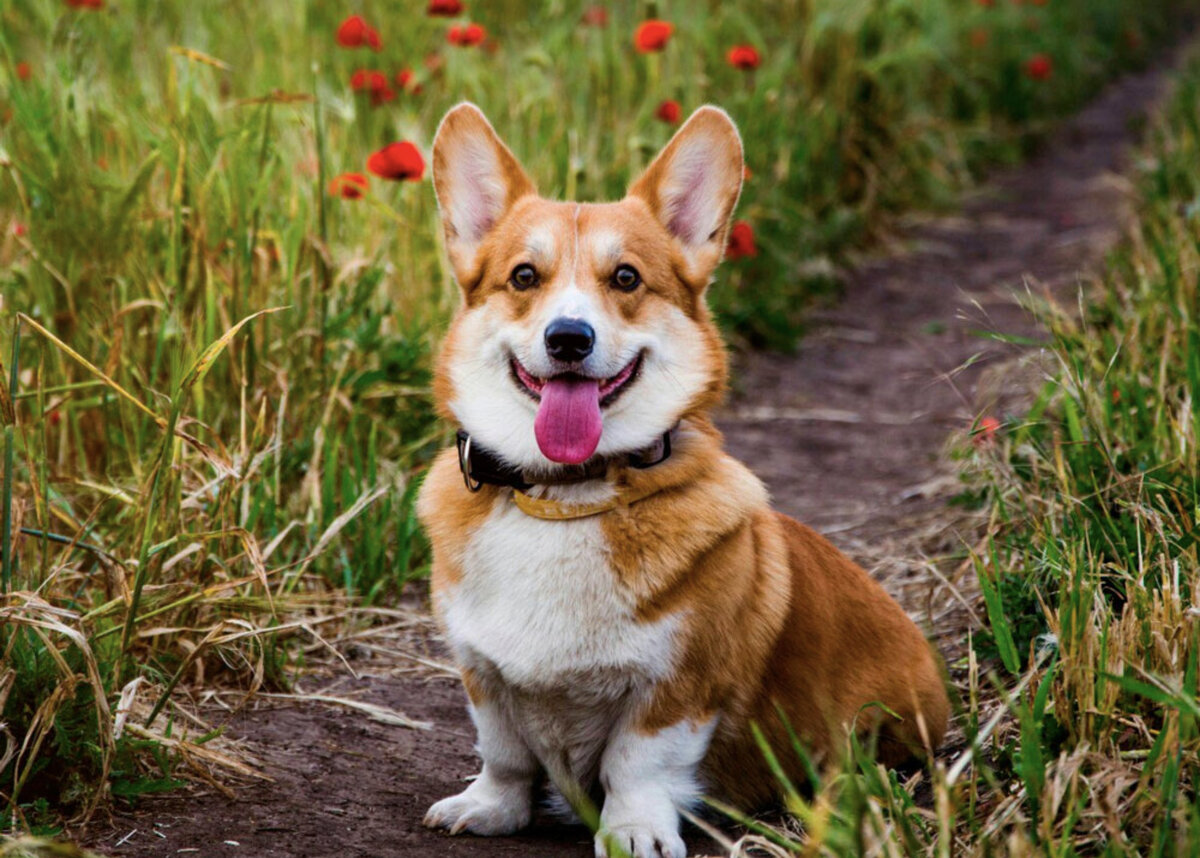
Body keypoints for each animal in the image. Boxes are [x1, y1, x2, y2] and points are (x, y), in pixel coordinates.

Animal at [417, 102, 950, 858]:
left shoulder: (680, 687)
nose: (569, 338)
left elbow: (637, 762)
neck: (563, 496)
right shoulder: (481, 674)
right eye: (523, 277)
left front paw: (634, 830)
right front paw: (490, 806)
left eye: (626, 278)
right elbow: (503, 752)